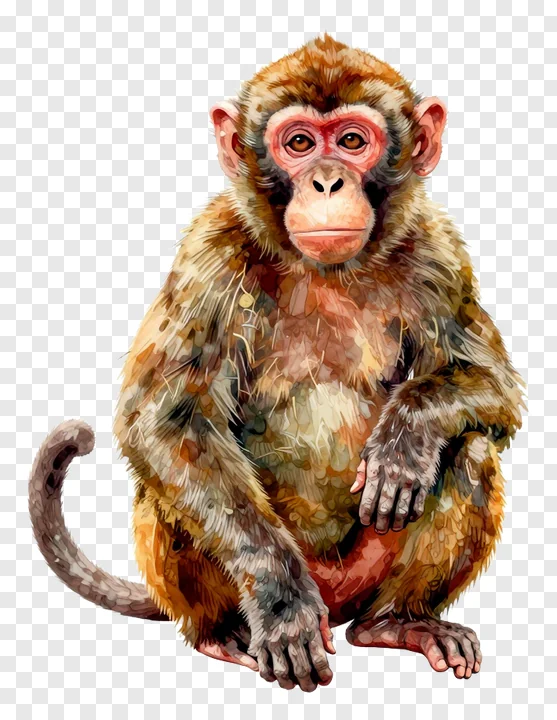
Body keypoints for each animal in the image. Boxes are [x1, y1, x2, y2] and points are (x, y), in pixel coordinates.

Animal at [29, 36, 524, 691]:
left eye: (352, 141)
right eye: (299, 144)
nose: (327, 183)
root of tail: (338, 603)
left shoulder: (437, 249)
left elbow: (495, 388)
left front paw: (406, 440)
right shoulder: (209, 253)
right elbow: (164, 422)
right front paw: (281, 602)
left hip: (361, 580)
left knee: (469, 448)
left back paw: (400, 623)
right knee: (168, 487)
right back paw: (222, 633)